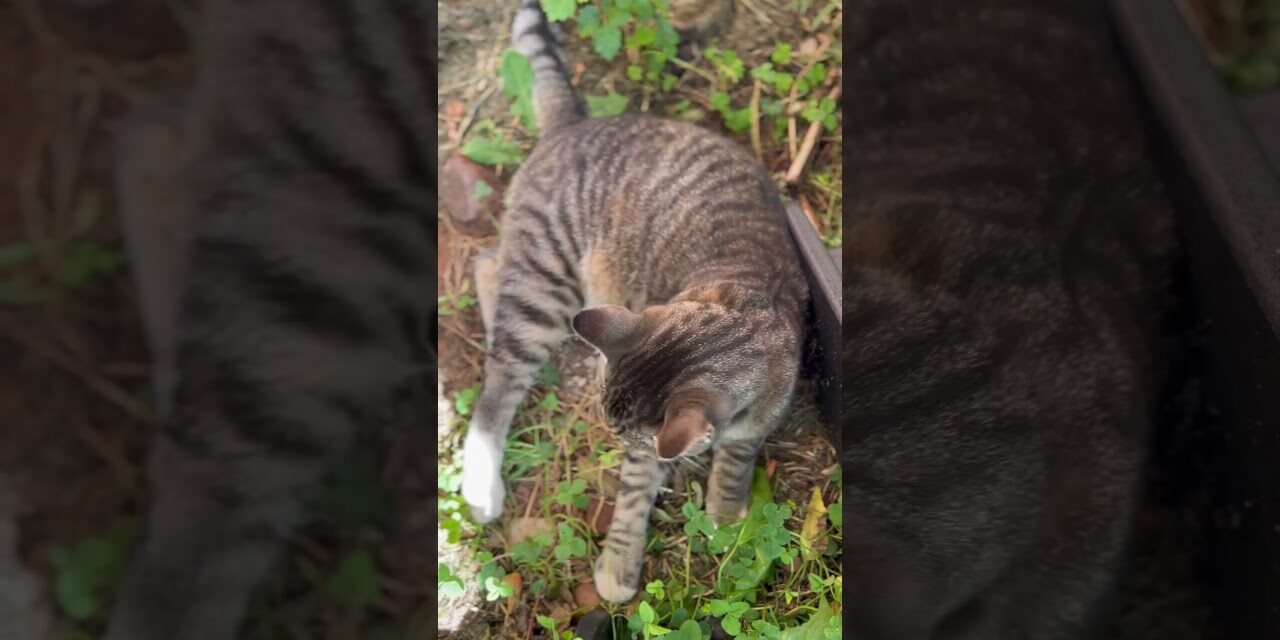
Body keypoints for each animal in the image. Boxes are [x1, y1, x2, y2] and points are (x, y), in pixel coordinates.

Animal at [460, 0, 808, 599]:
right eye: (626, 443)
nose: (615, 437)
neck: (745, 313)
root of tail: (572, 124)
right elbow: (632, 495)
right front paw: (620, 562)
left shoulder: (761, 415)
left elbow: (739, 454)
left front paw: (725, 508)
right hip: (546, 281)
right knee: (500, 378)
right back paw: (483, 482)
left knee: (488, 265)